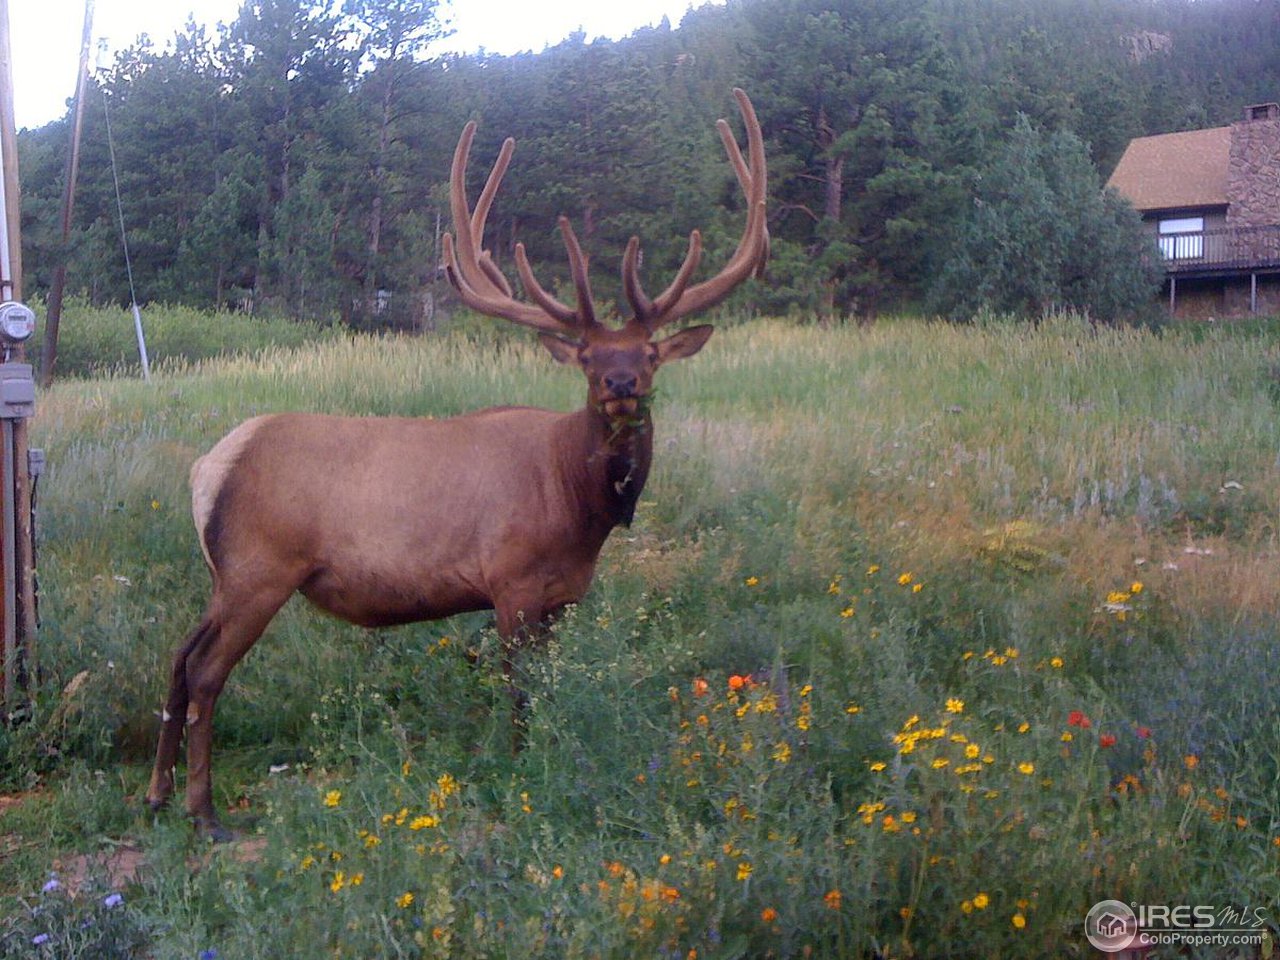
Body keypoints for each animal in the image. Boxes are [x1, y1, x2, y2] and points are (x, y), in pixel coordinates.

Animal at [145, 89, 767, 839]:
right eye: (589, 357)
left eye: (648, 353)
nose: (621, 383)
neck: (578, 505)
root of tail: (208, 468)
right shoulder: (511, 581)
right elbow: (519, 694)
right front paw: (522, 771)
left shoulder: (563, 597)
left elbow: (548, 688)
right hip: (259, 568)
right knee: (207, 670)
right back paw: (203, 810)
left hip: (227, 575)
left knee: (180, 656)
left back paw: (156, 793)